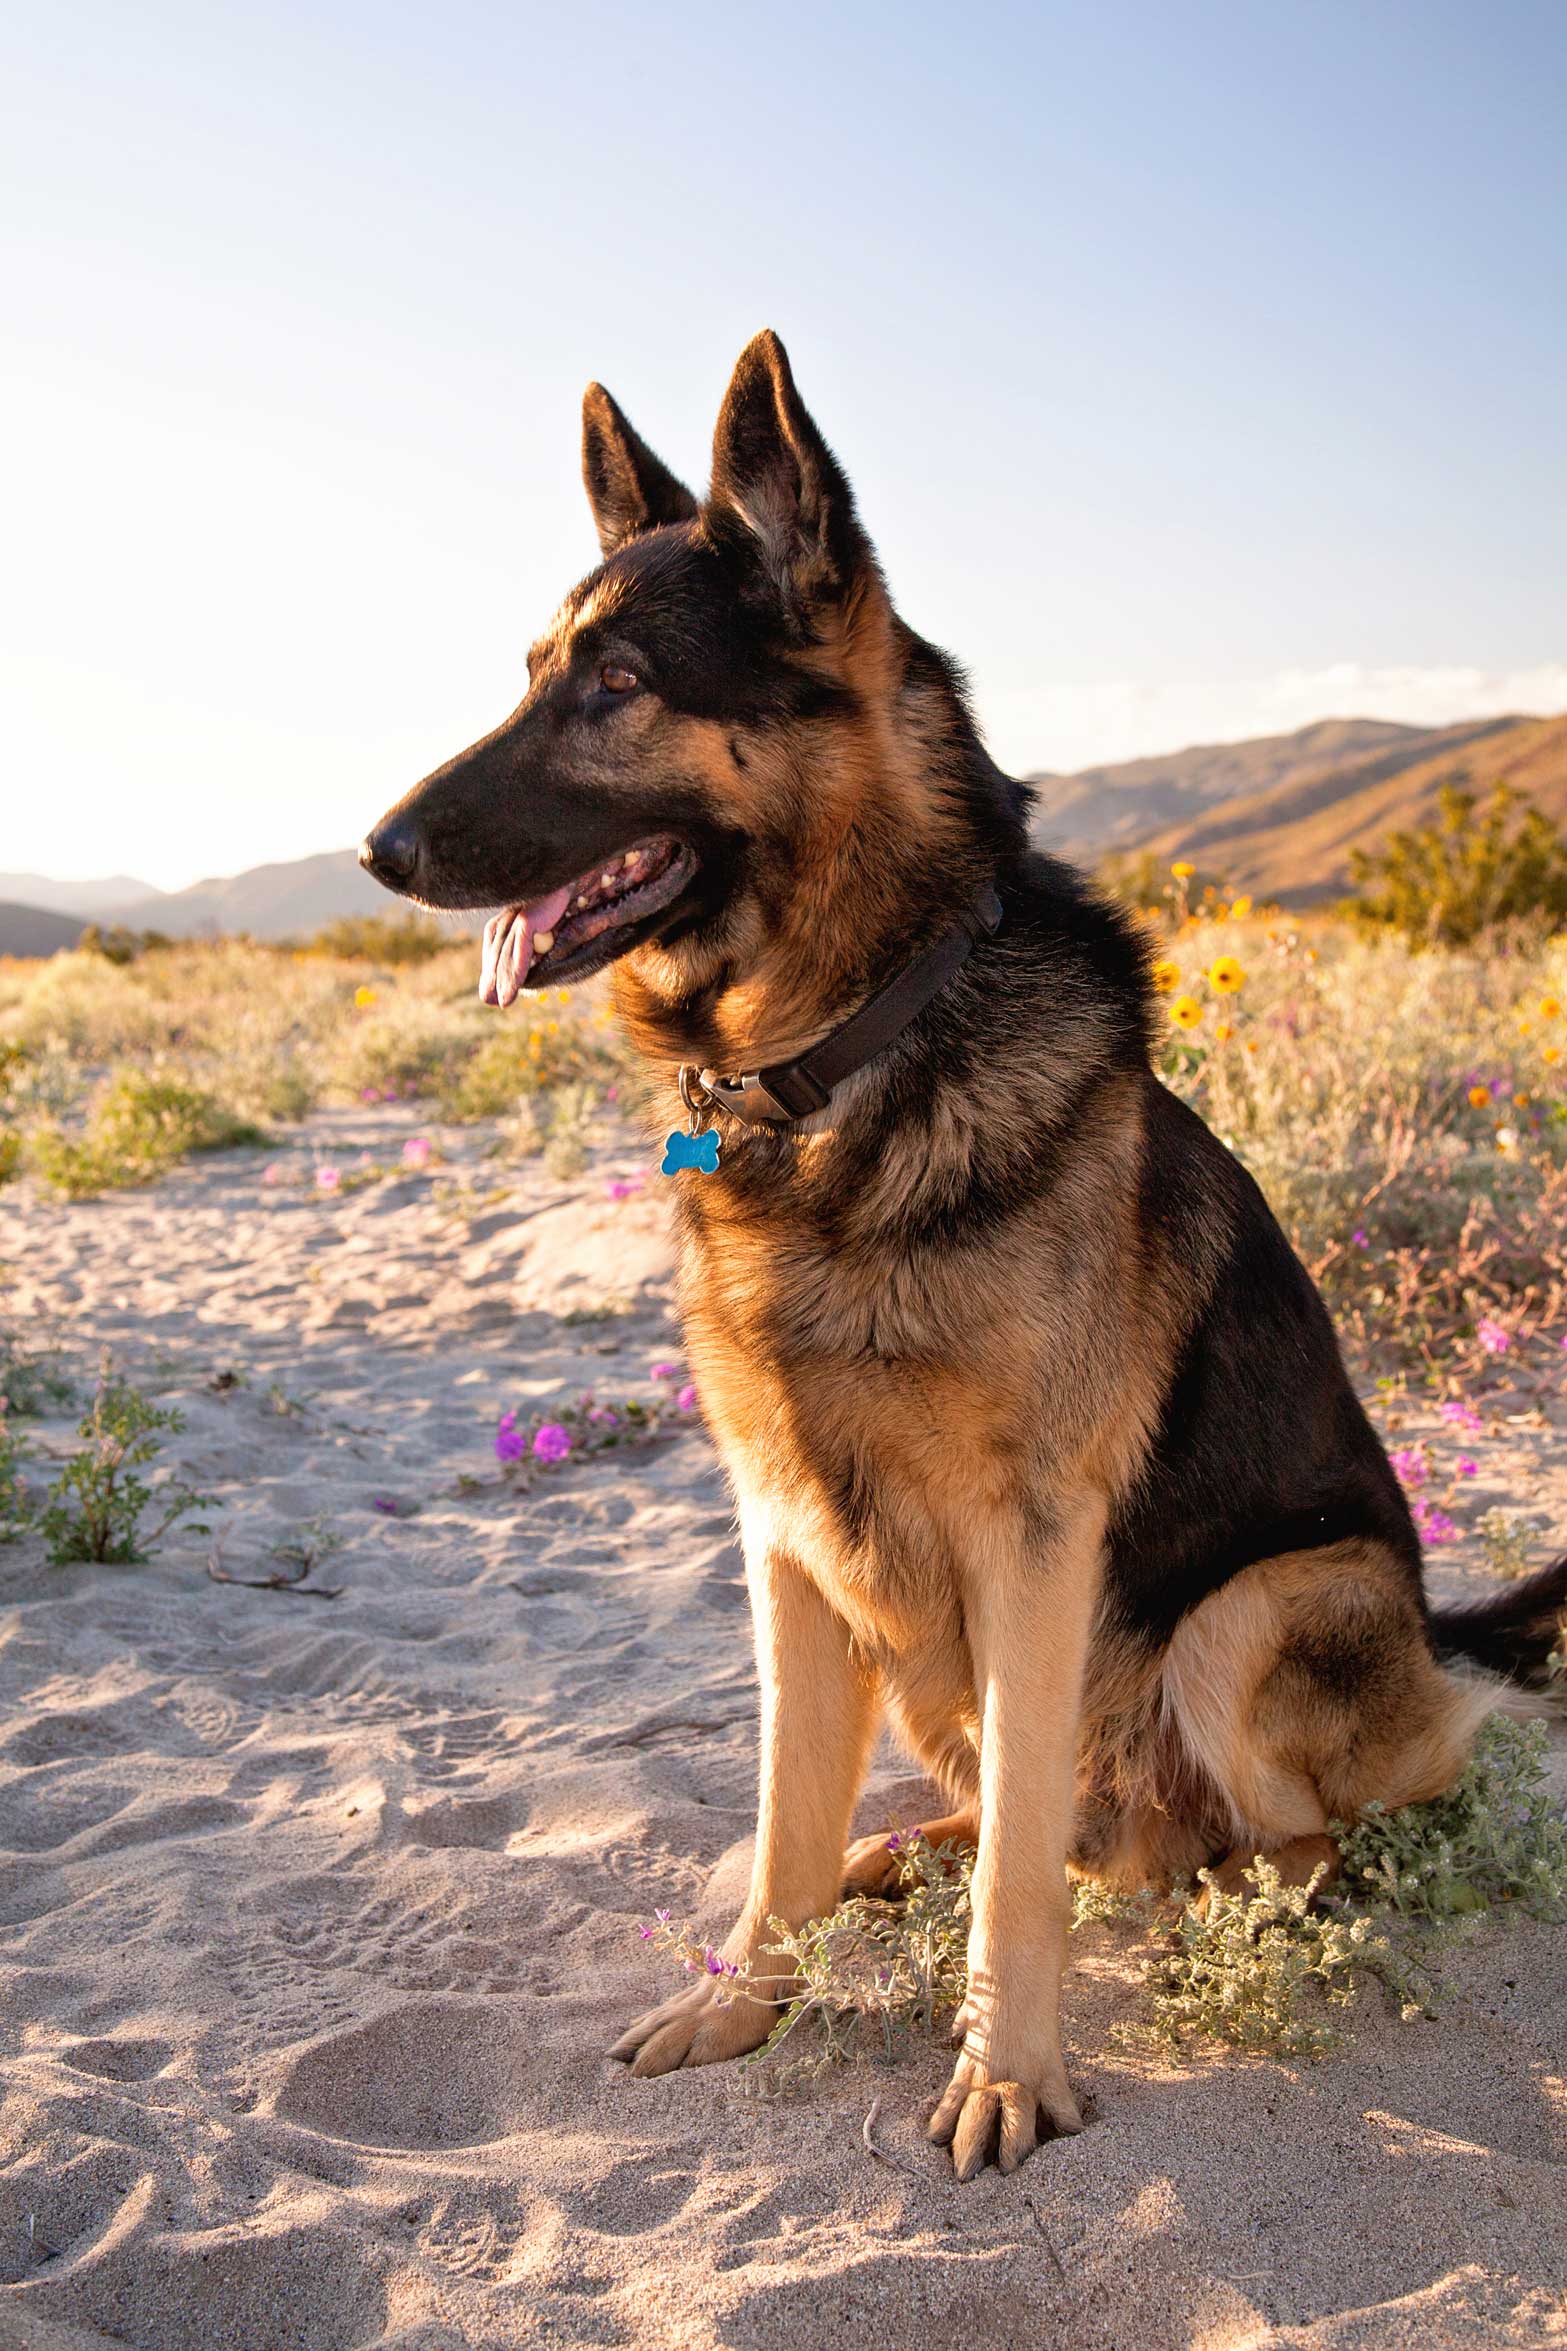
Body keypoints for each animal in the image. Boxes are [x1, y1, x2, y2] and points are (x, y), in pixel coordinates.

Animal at [361, 331, 1567, 2178]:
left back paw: (1223, 1902)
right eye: (531, 674)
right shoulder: (787, 1540)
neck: (850, 1052)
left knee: (1252, 1840)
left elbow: (1015, 1865)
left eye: (618, 682)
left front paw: (1007, 2069)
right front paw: (746, 1995)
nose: (378, 849)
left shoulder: (1034, 1542)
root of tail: (1443, 1641)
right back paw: (903, 1854)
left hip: (1251, 1612)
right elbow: (786, 1812)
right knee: (1039, 1816)